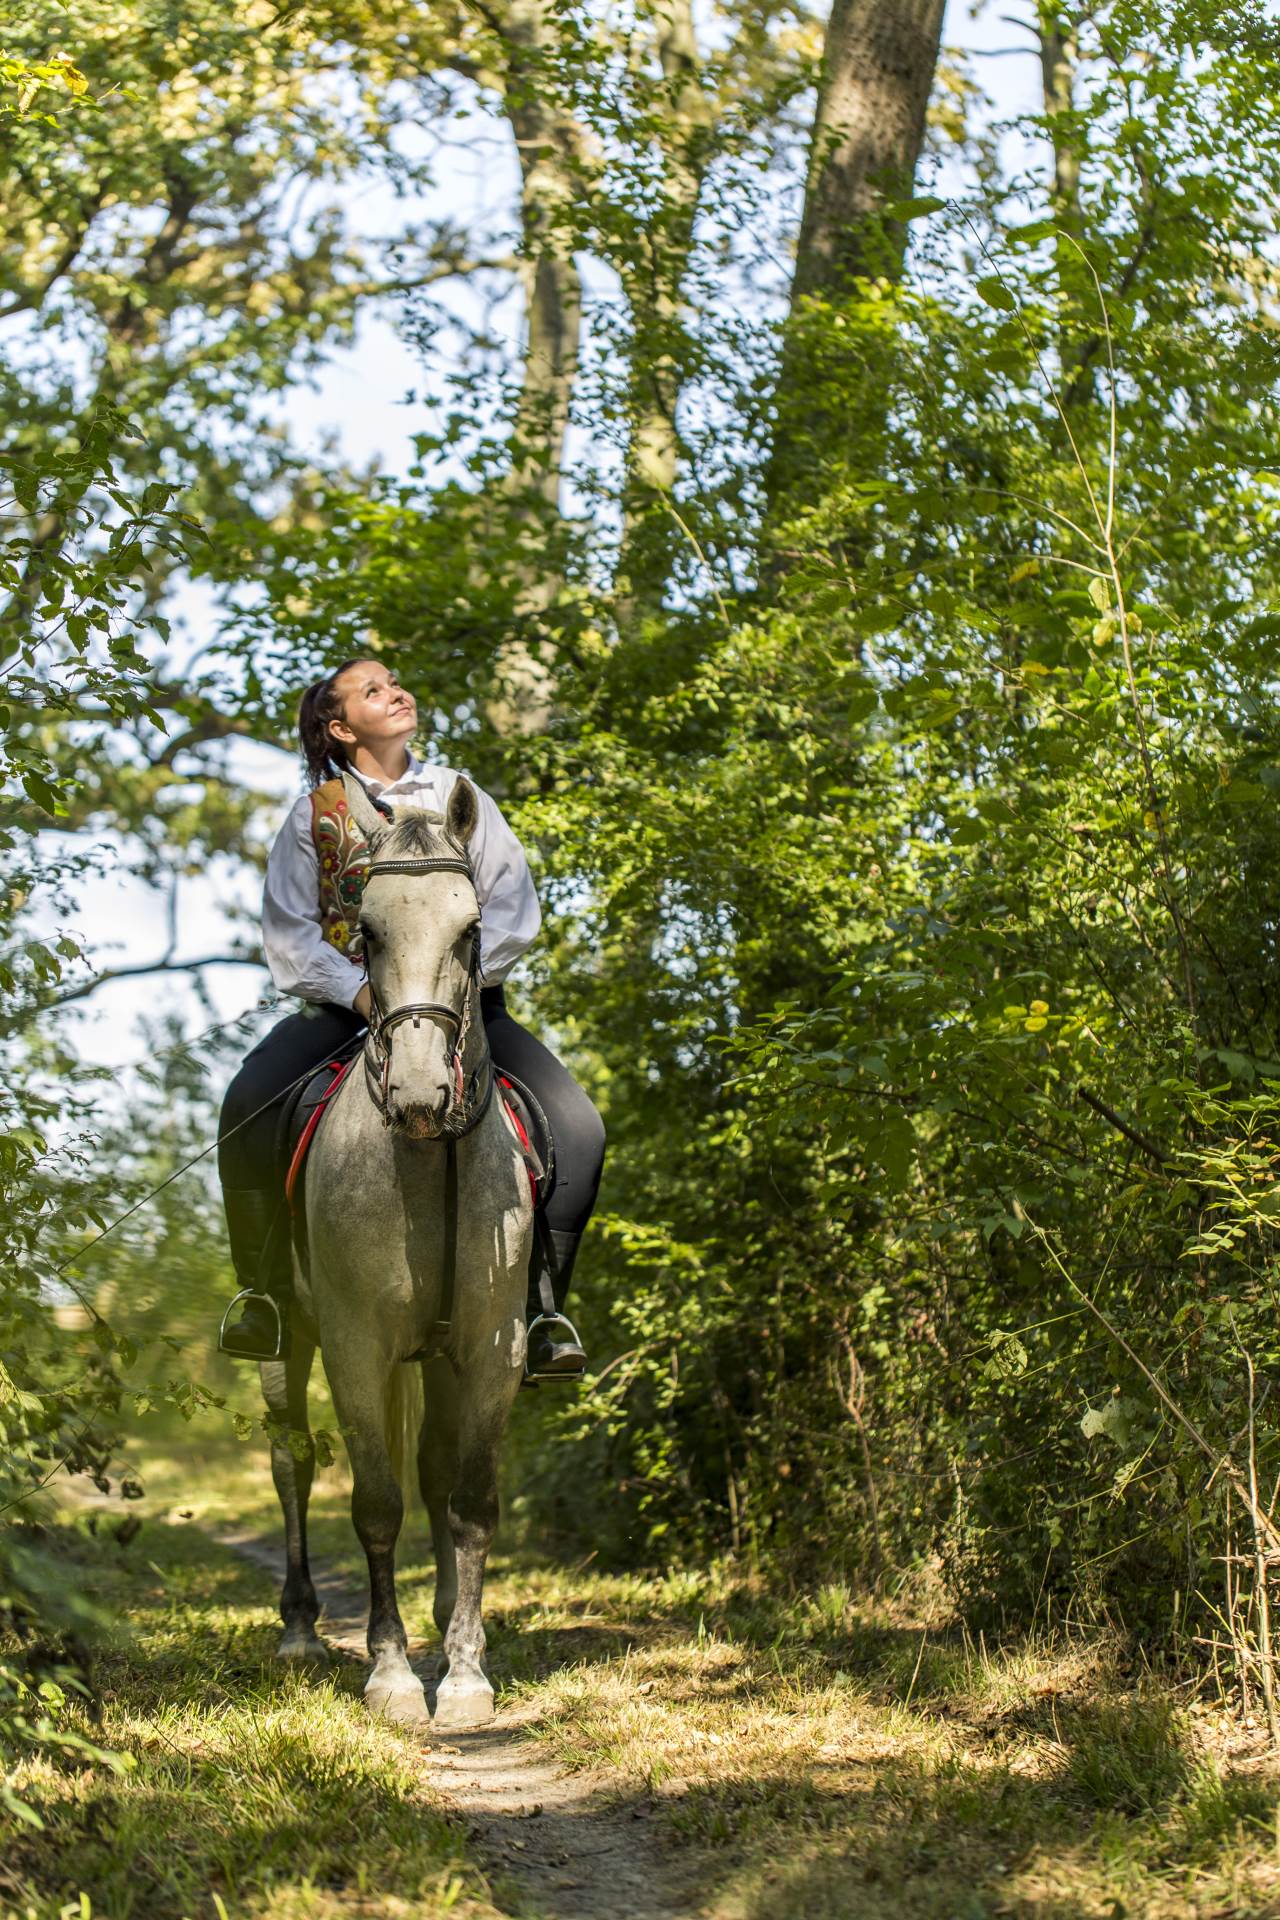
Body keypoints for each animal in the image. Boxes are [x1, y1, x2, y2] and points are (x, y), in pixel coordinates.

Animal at [260, 771, 529, 1735]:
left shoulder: (492, 1348)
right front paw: (389, 1674)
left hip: (440, 1359)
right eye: (368, 931)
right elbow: (374, 1503)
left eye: (472, 930)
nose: (419, 1094)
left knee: (438, 1471)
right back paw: (301, 1629)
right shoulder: (355, 1345)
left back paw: (445, 1627)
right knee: (292, 1459)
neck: (424, 1158)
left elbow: (471, 1503)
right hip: (287, 1339)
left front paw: (465, 1672)